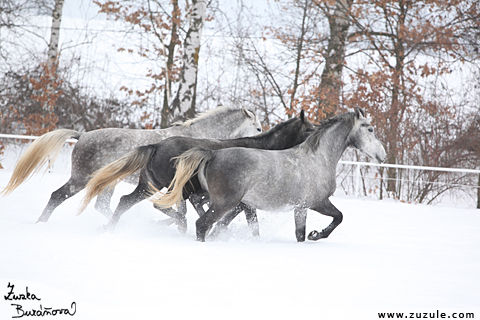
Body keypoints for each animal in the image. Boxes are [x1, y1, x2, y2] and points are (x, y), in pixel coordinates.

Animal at [0, 107, 262, 222]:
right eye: (258, 127)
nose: (261, 134)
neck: (202, 135)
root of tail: (81, 136)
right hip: (81, 179)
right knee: (57, 196)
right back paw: (40, 224)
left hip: (107, 183)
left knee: (103, 206)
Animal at [79, 110, 316, 235]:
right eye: (309, 128)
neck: (262, 149)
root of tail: (155, 146)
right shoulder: (239, 201)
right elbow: (235, 221)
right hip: (169, 188)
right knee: (157, 206)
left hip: (148, 186)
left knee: (125, 201)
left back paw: (110, 228)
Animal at [154, 109, 386, 241]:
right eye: (370, 129)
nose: (382, 155)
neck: (318, 158)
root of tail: (212, 154)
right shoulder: (315, 203)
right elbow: (338, 217)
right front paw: (317, 235)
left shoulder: (300, 208)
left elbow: (301, 234)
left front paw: (313, 235)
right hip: (224, 203)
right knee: (201, 224)